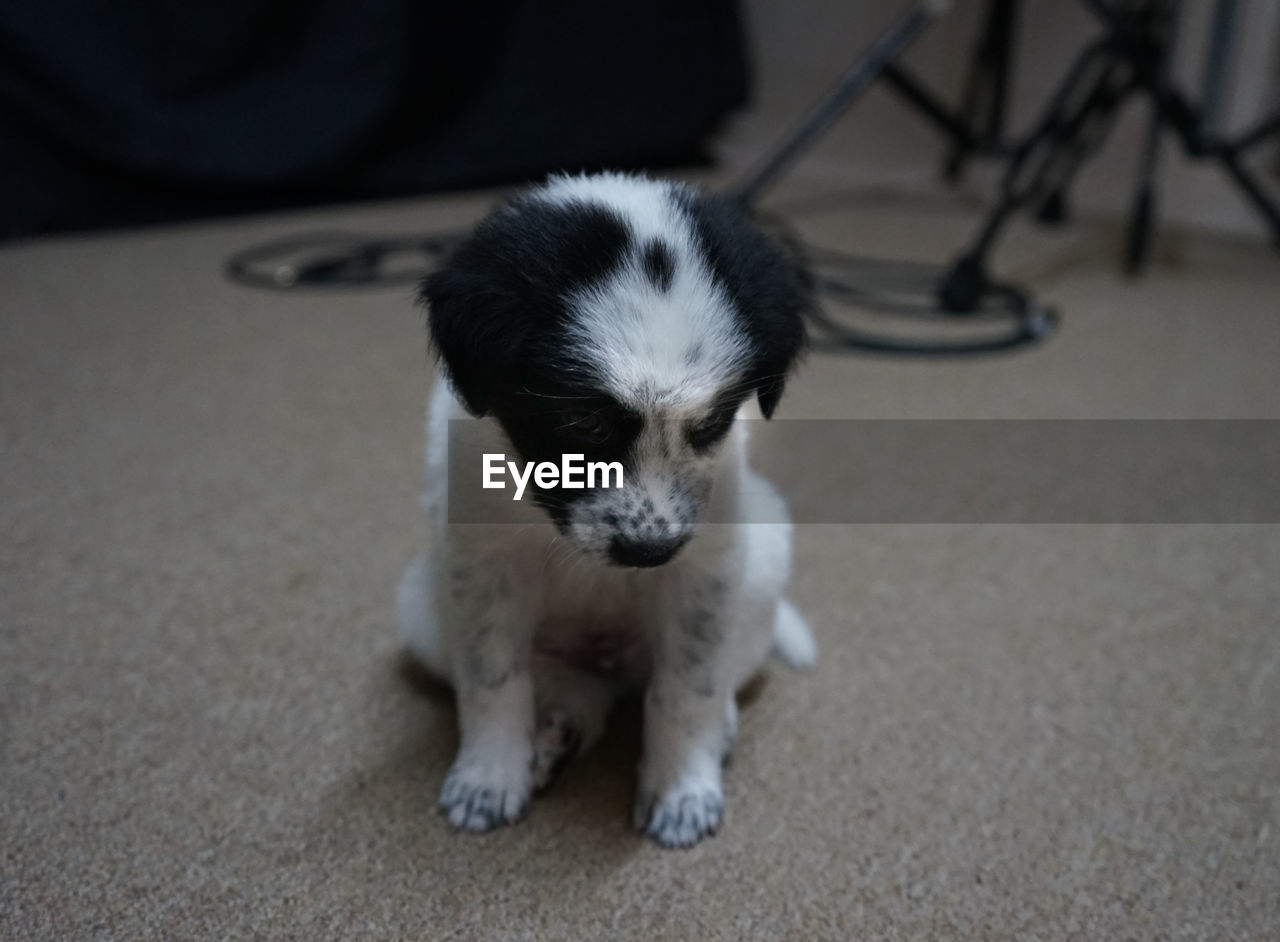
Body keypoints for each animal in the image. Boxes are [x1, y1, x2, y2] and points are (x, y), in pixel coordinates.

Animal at [399, 172, 814, 849]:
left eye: (712, 423)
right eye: (582, 422)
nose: (648, 553)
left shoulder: (703, 568)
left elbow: (686, 689)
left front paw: (681, 788)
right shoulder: (481, 564)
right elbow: (493, 679)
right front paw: (488, 776)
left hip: (762, 563)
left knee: (710, 679)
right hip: (423, 612)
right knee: (573, 689)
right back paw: (556, 734)